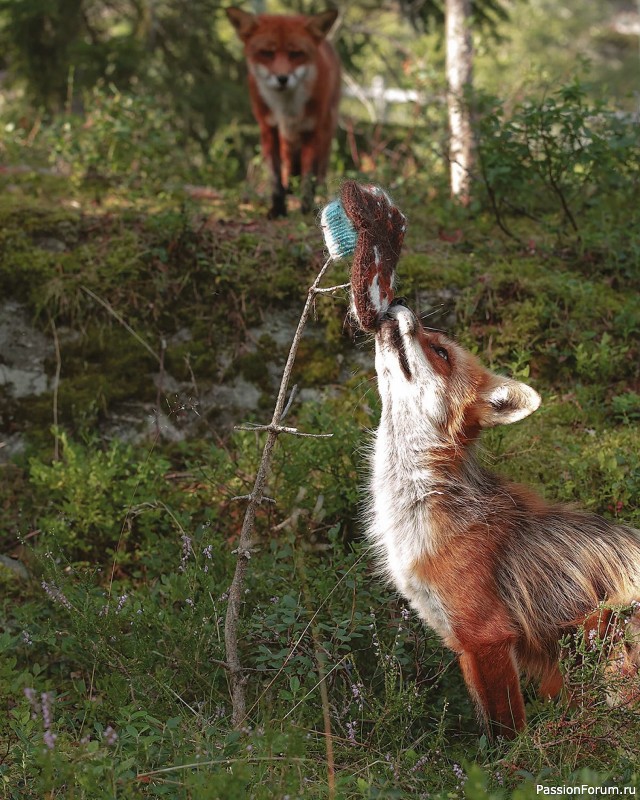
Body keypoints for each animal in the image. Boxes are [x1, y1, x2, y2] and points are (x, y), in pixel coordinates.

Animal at [228, 7, 342, 219]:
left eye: (296, 54)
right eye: (267, 53)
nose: (282, 78)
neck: (286, 109)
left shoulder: (312, 129)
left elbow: (308, 175)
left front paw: (307, 208)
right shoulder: (268, 128)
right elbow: (275, 176)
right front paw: (277, 208)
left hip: (326, 128)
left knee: (320, 170)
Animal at [368, 300, 640, 736]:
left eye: (441, 352)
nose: (396, 304)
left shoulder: (488, 636)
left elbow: (505, 730)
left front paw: (508, 755)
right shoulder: (460, 642)